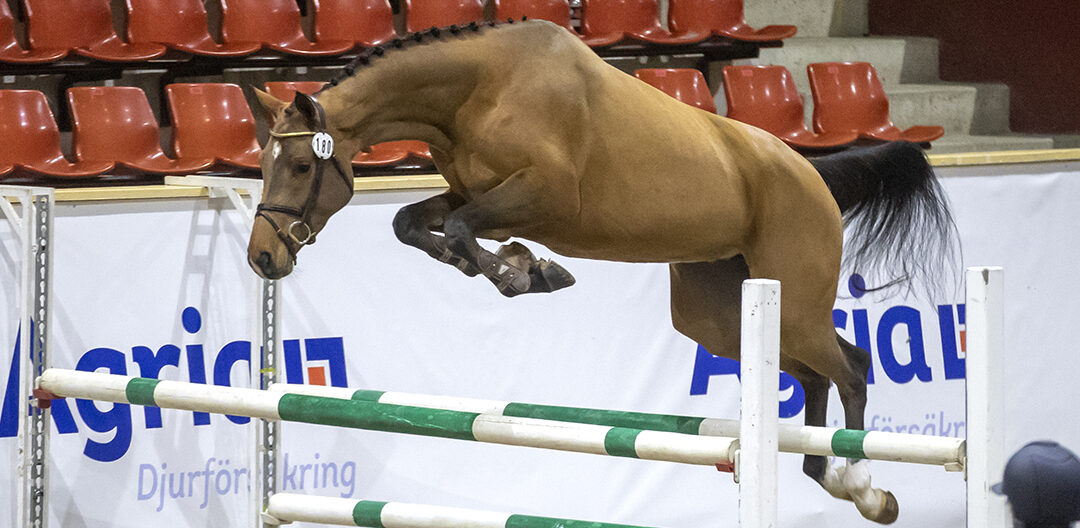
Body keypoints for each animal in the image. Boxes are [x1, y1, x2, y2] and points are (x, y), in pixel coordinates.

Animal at [248, 18, 959, 520]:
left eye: (303, 166)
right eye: (262, 165)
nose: (263, 256)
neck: (479, 89)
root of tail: (812, 172)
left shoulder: (544, 198)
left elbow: (460, 228)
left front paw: (522, 273)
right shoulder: (473, 194)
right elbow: (416, 224)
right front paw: (516, 266)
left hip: (796, 300)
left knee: (852, 367)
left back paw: (864, 485)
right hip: (720, 318)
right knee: (812, 375)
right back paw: (835, 478)